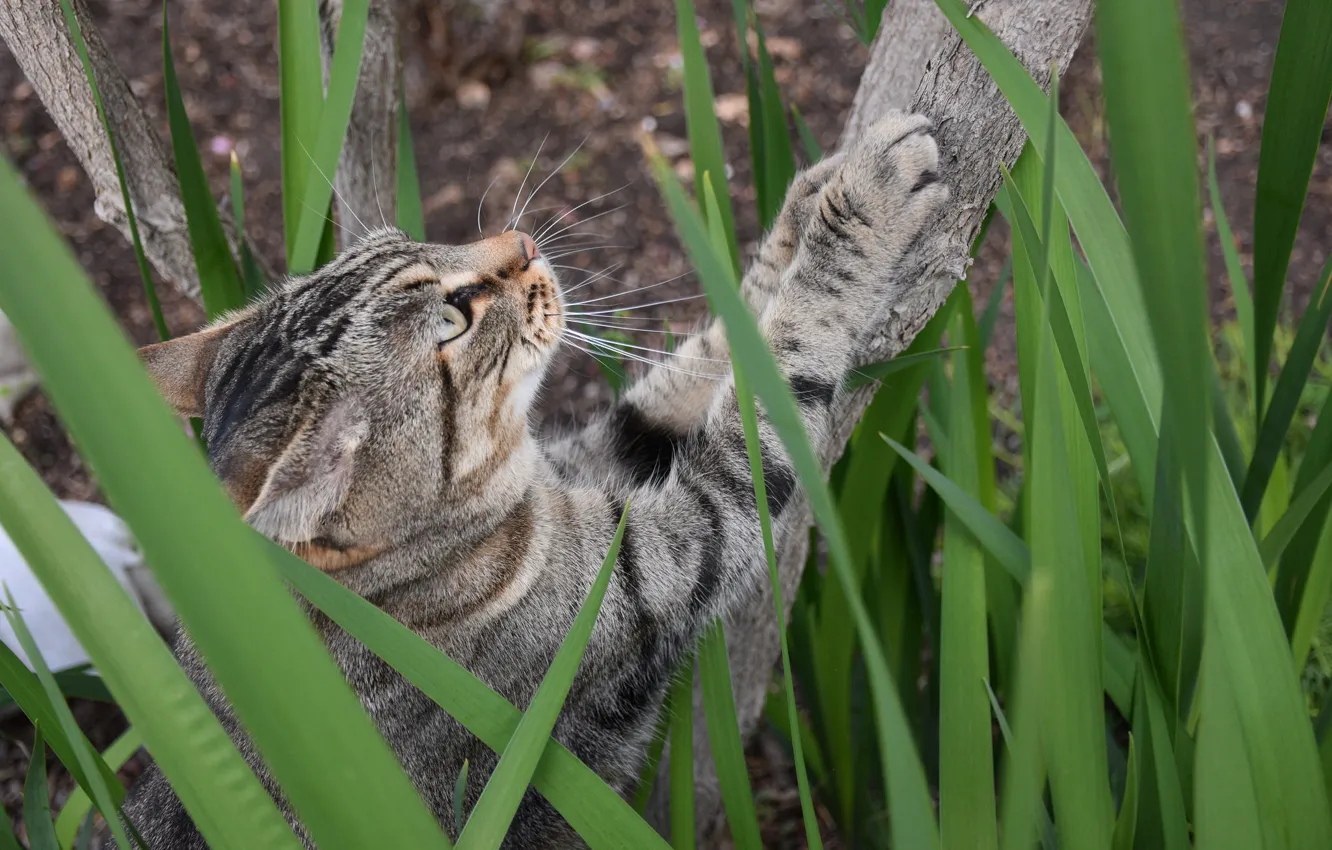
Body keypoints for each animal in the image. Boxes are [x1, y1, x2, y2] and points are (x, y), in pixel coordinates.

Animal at [119, 111, 943, 847]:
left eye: (406, 239)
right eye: (454, 316)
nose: (521, 240)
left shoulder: (593, 469)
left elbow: (710, 352)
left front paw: (809, 200)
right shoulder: (679, 548)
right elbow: (775, 373)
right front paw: (865, 202)